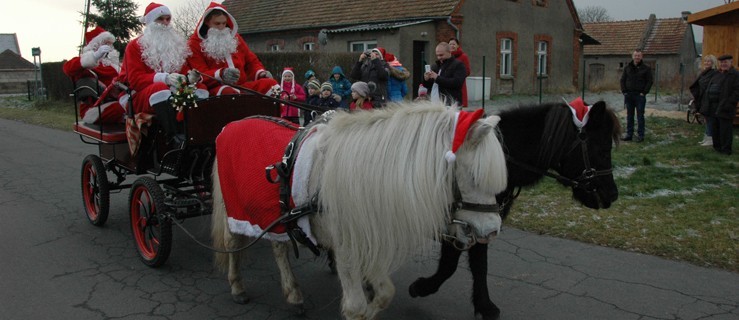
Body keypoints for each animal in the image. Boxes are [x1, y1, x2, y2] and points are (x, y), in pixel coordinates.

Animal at [211, 101, 506, 318]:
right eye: (475, 176)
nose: (493, 230)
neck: (365, 176)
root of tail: (230, 125)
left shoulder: (372, 238)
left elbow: (384, 294)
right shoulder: (347, 250)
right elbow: (356, 307)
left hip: (274, 215)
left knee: (279, 247)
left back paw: (293, 294)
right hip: (234, 209)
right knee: (232, 243)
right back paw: (237, 286)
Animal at [408, 100, 620, 320]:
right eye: (602, 149)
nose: (612, 195)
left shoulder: (477, 225)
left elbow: (477, 265)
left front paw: (484, 305)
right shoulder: (462, 223)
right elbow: (451, 265)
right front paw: (421, 287)